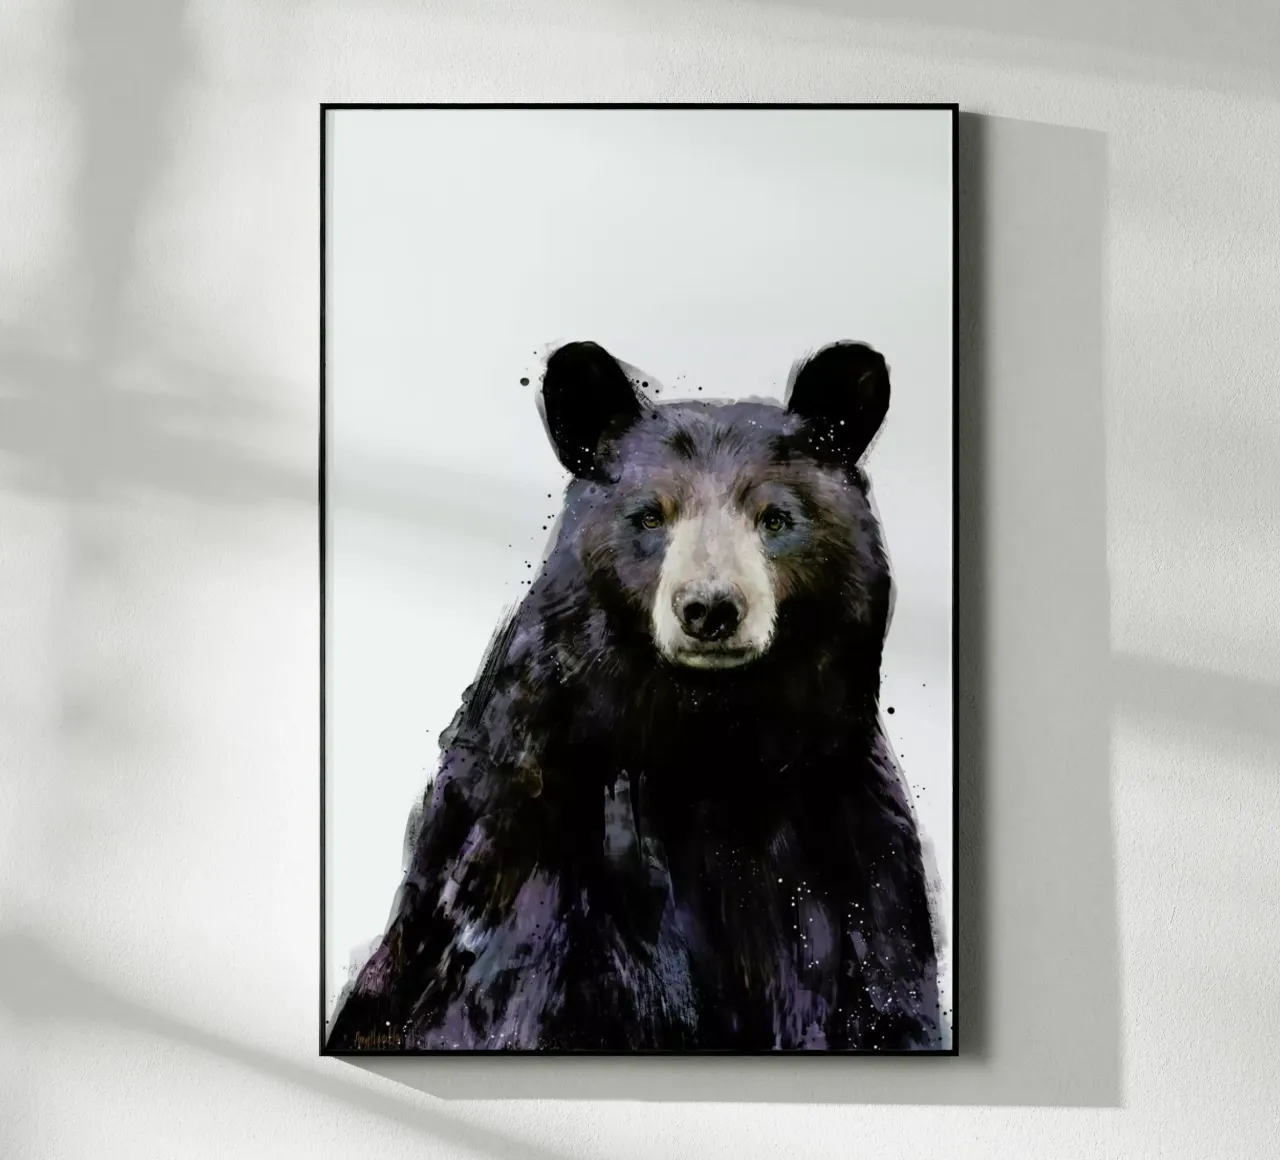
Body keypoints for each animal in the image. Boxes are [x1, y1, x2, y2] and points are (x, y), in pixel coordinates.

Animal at [325, 339, 944, 1052]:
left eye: (776, 518)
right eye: (650, 515)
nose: (710, 608)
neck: (709, 742)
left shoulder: (849, 842)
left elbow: (883, 990)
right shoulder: (536, 844)